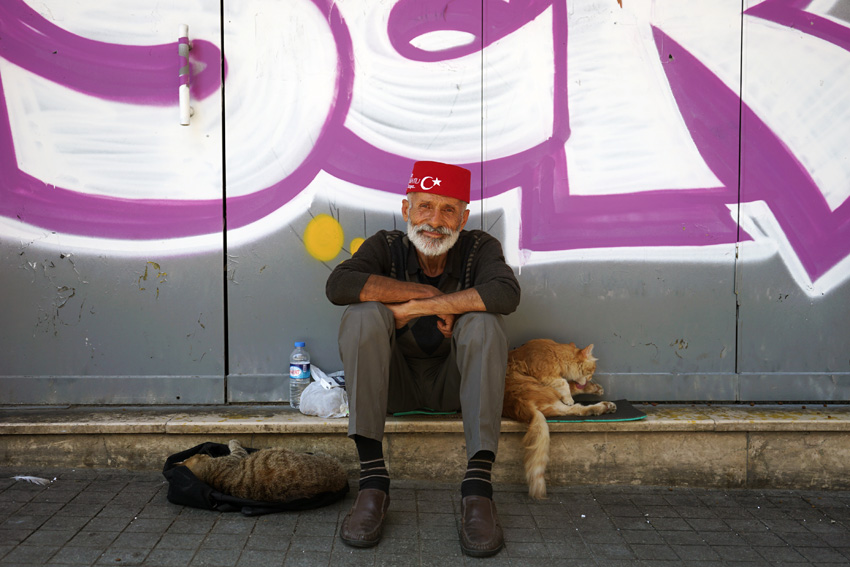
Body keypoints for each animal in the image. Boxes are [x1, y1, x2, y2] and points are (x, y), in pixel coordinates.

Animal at [176, 440, 348, 502]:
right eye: (201, 455)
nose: (204, 453)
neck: (209, 474)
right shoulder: (237, 456)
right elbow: (236, 446)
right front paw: (233, 441)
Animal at [500, 340, 612, 500]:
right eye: (592, 370)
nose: (591, 378)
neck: (556, 353)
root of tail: (520, 405)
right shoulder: (546, 376)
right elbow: (565, 384)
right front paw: (572, 396)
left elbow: (572, 385)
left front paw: (594, 388)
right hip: (543, 390)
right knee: (575, 406)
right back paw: (602, 406)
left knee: (577, 409)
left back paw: (605, 406)